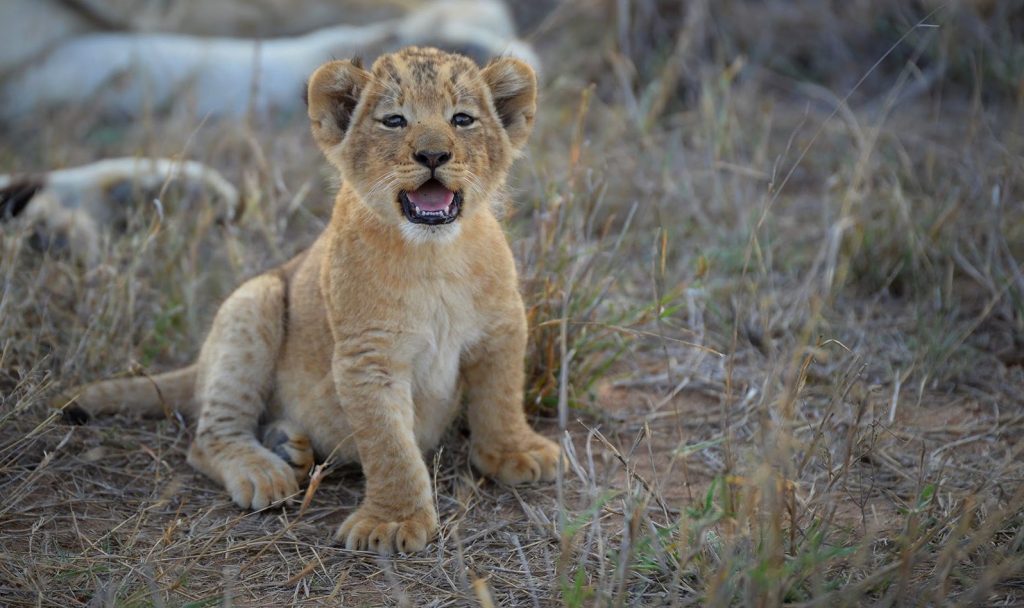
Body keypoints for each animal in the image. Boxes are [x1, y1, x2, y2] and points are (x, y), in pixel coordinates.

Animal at [58, 47, 561, 552]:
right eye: (394, 120)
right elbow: (389, 444)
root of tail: (198, 365)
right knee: (207, 438)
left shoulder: (502, 327)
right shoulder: (366, 357)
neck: (435, 254)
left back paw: (288, 445)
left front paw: (515, 452)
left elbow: (501, 396)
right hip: (254, 299)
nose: (434, 154)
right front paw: (393, 521)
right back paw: (265, 472)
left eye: (462, 119)